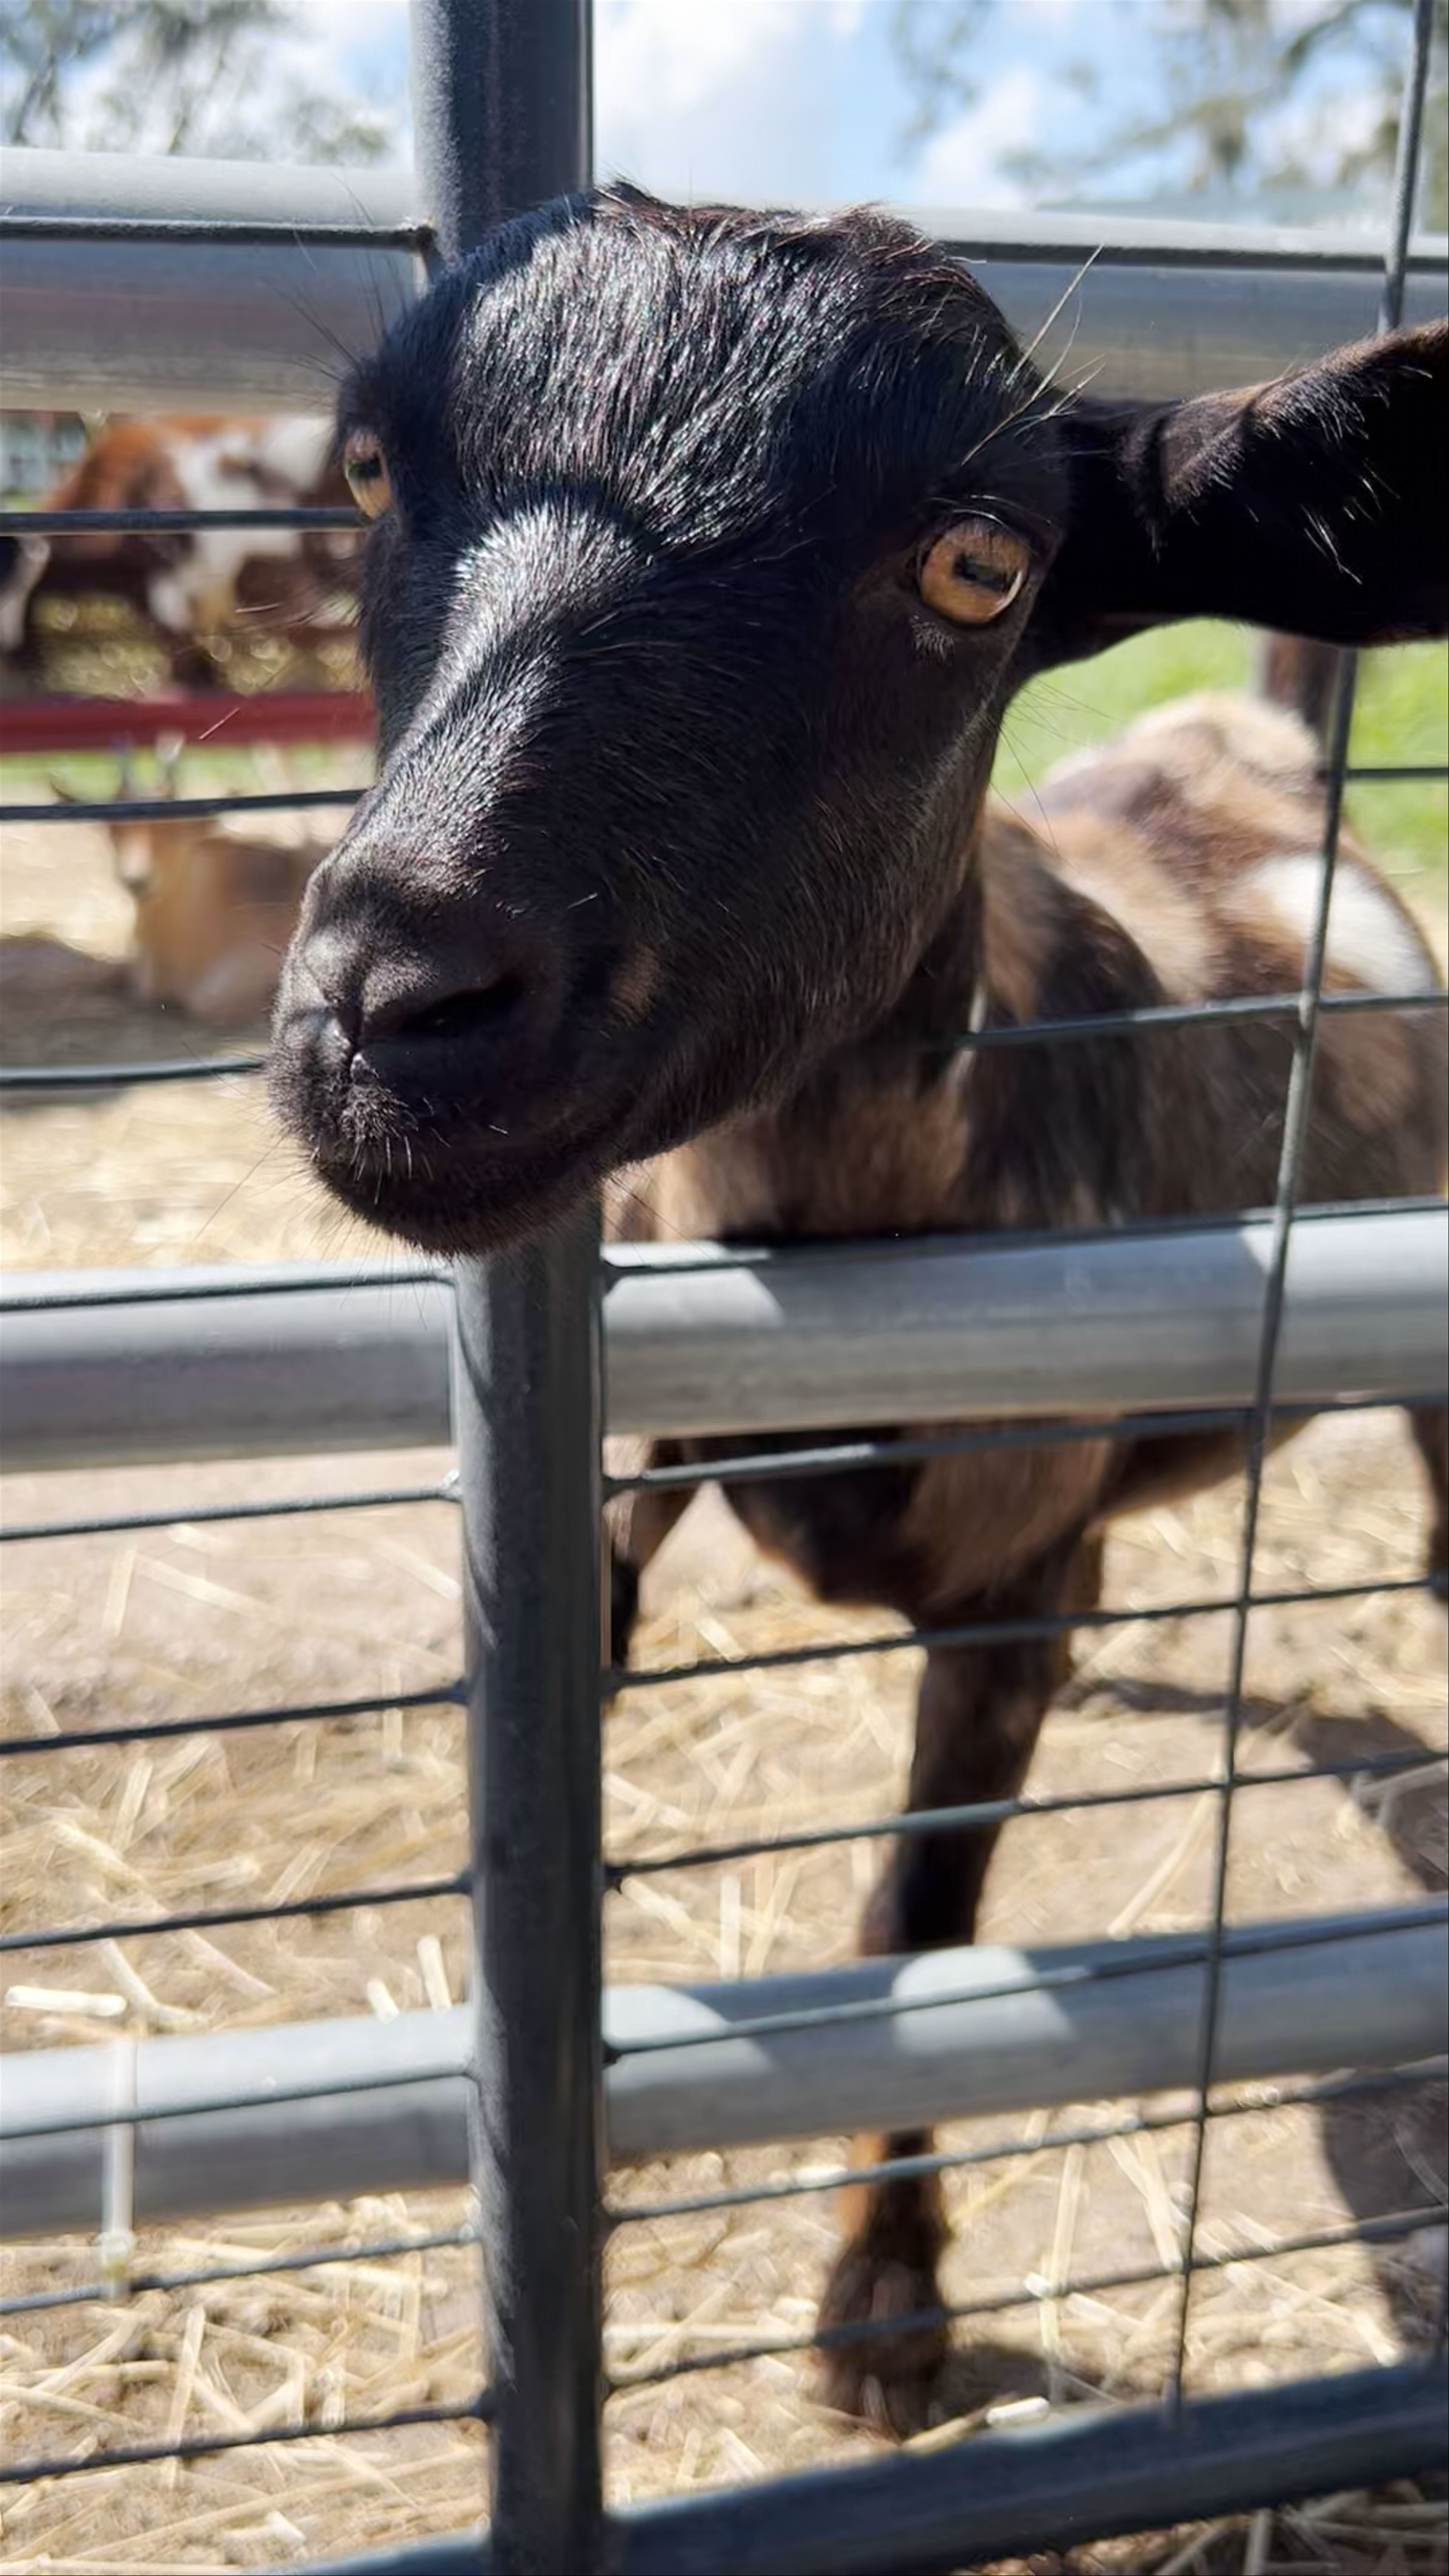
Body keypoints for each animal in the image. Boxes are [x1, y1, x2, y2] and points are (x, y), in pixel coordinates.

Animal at [270, 190, 1449, 2433]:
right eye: (371, 467)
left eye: (976, 565)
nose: (392, 1005)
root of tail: (1269, 741)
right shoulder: (655, 1399)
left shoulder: (1003, 1598)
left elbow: (916, 1931)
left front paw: (884, 2304)